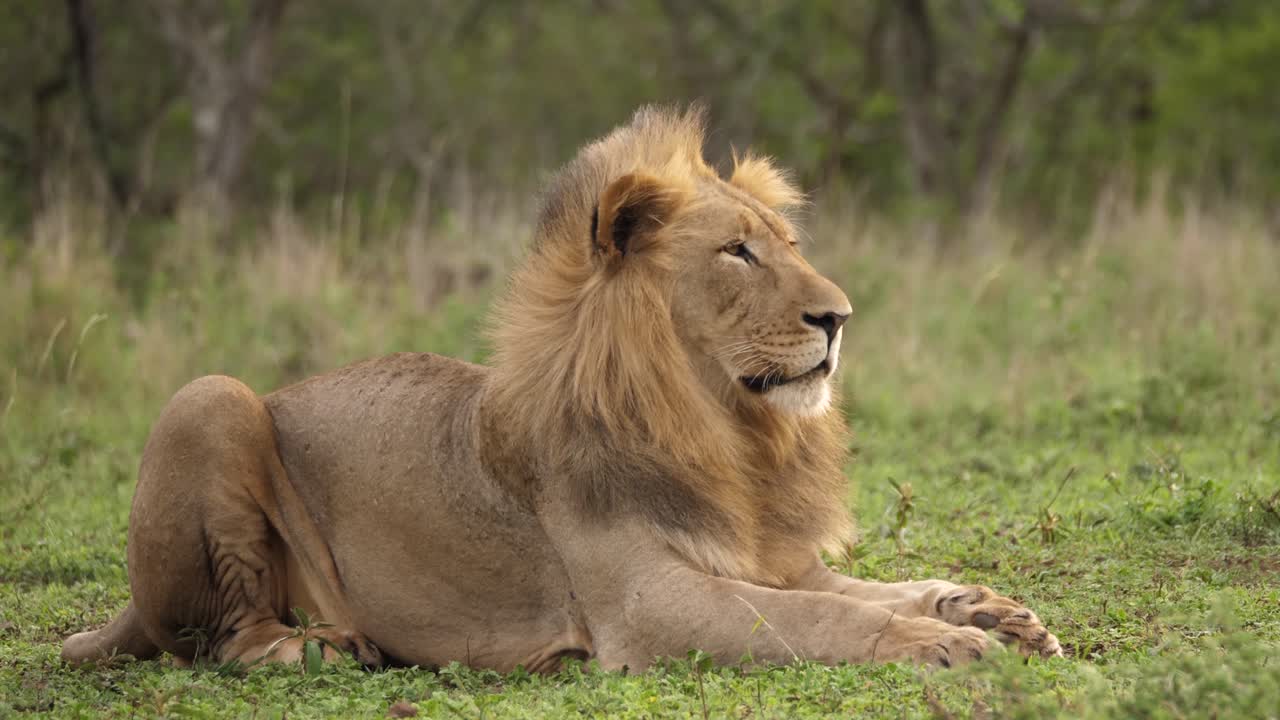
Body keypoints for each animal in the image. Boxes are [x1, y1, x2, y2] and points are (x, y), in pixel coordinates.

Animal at [62, 106, 1060, 673]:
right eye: (737, 252)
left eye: (789, 243)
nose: (840, 317)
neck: (729, 432)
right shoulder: (647, 608)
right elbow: (817, 619)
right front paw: (939, 644)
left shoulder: (773, 558)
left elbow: (873, 589)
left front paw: (989, 613)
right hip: (211, 396)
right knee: (221, 639)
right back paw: (312, 648)